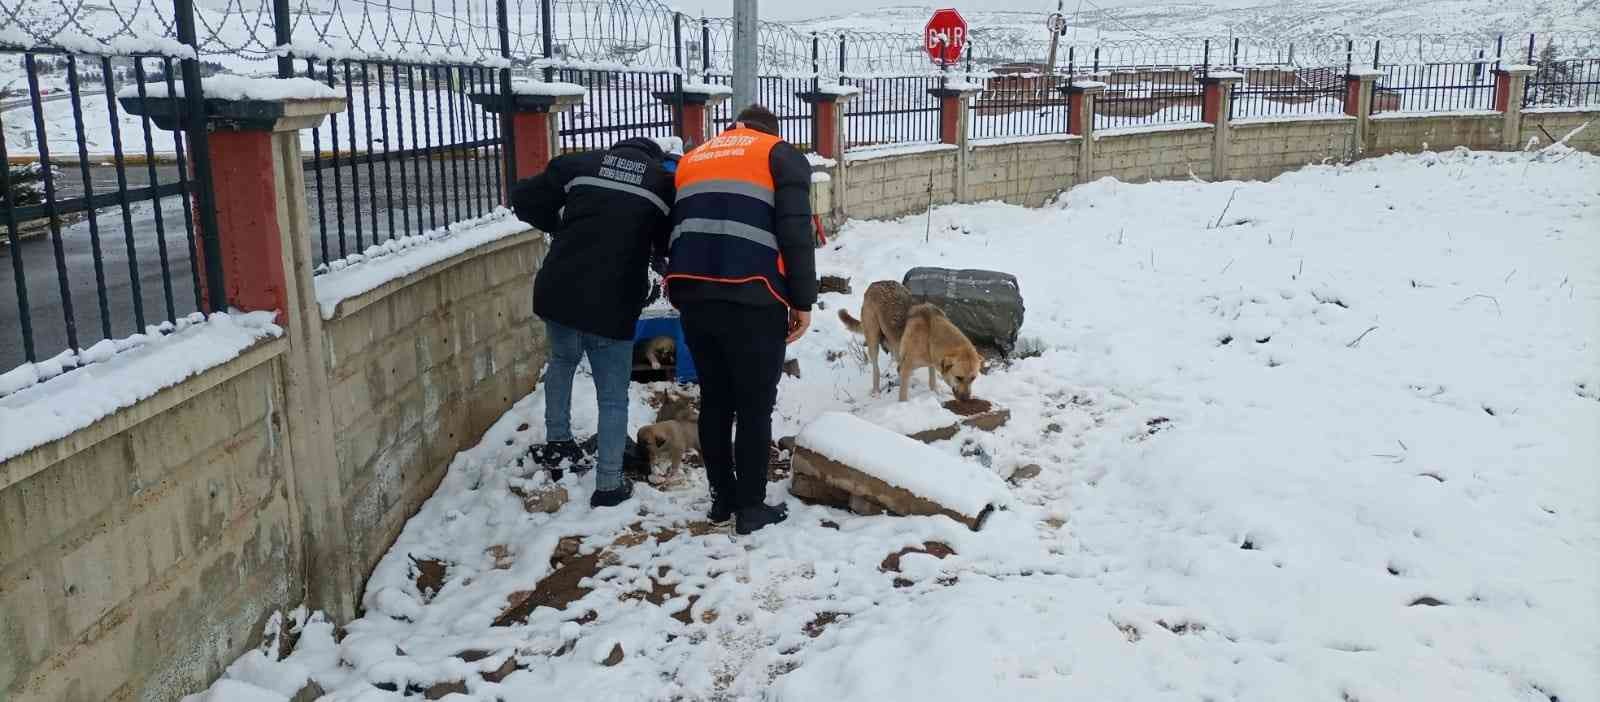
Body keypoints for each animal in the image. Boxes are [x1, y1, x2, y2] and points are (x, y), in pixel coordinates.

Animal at [838, 279, 985, 401]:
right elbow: (903, 396)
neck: (930, 335)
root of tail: (874, 284)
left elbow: (932, 382)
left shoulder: (932, 363)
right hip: (873, 340)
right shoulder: (907, 368)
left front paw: (935, 393)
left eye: (973, 378)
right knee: (876, 369)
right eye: (959, 378)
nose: (966, 399)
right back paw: (876, 392)